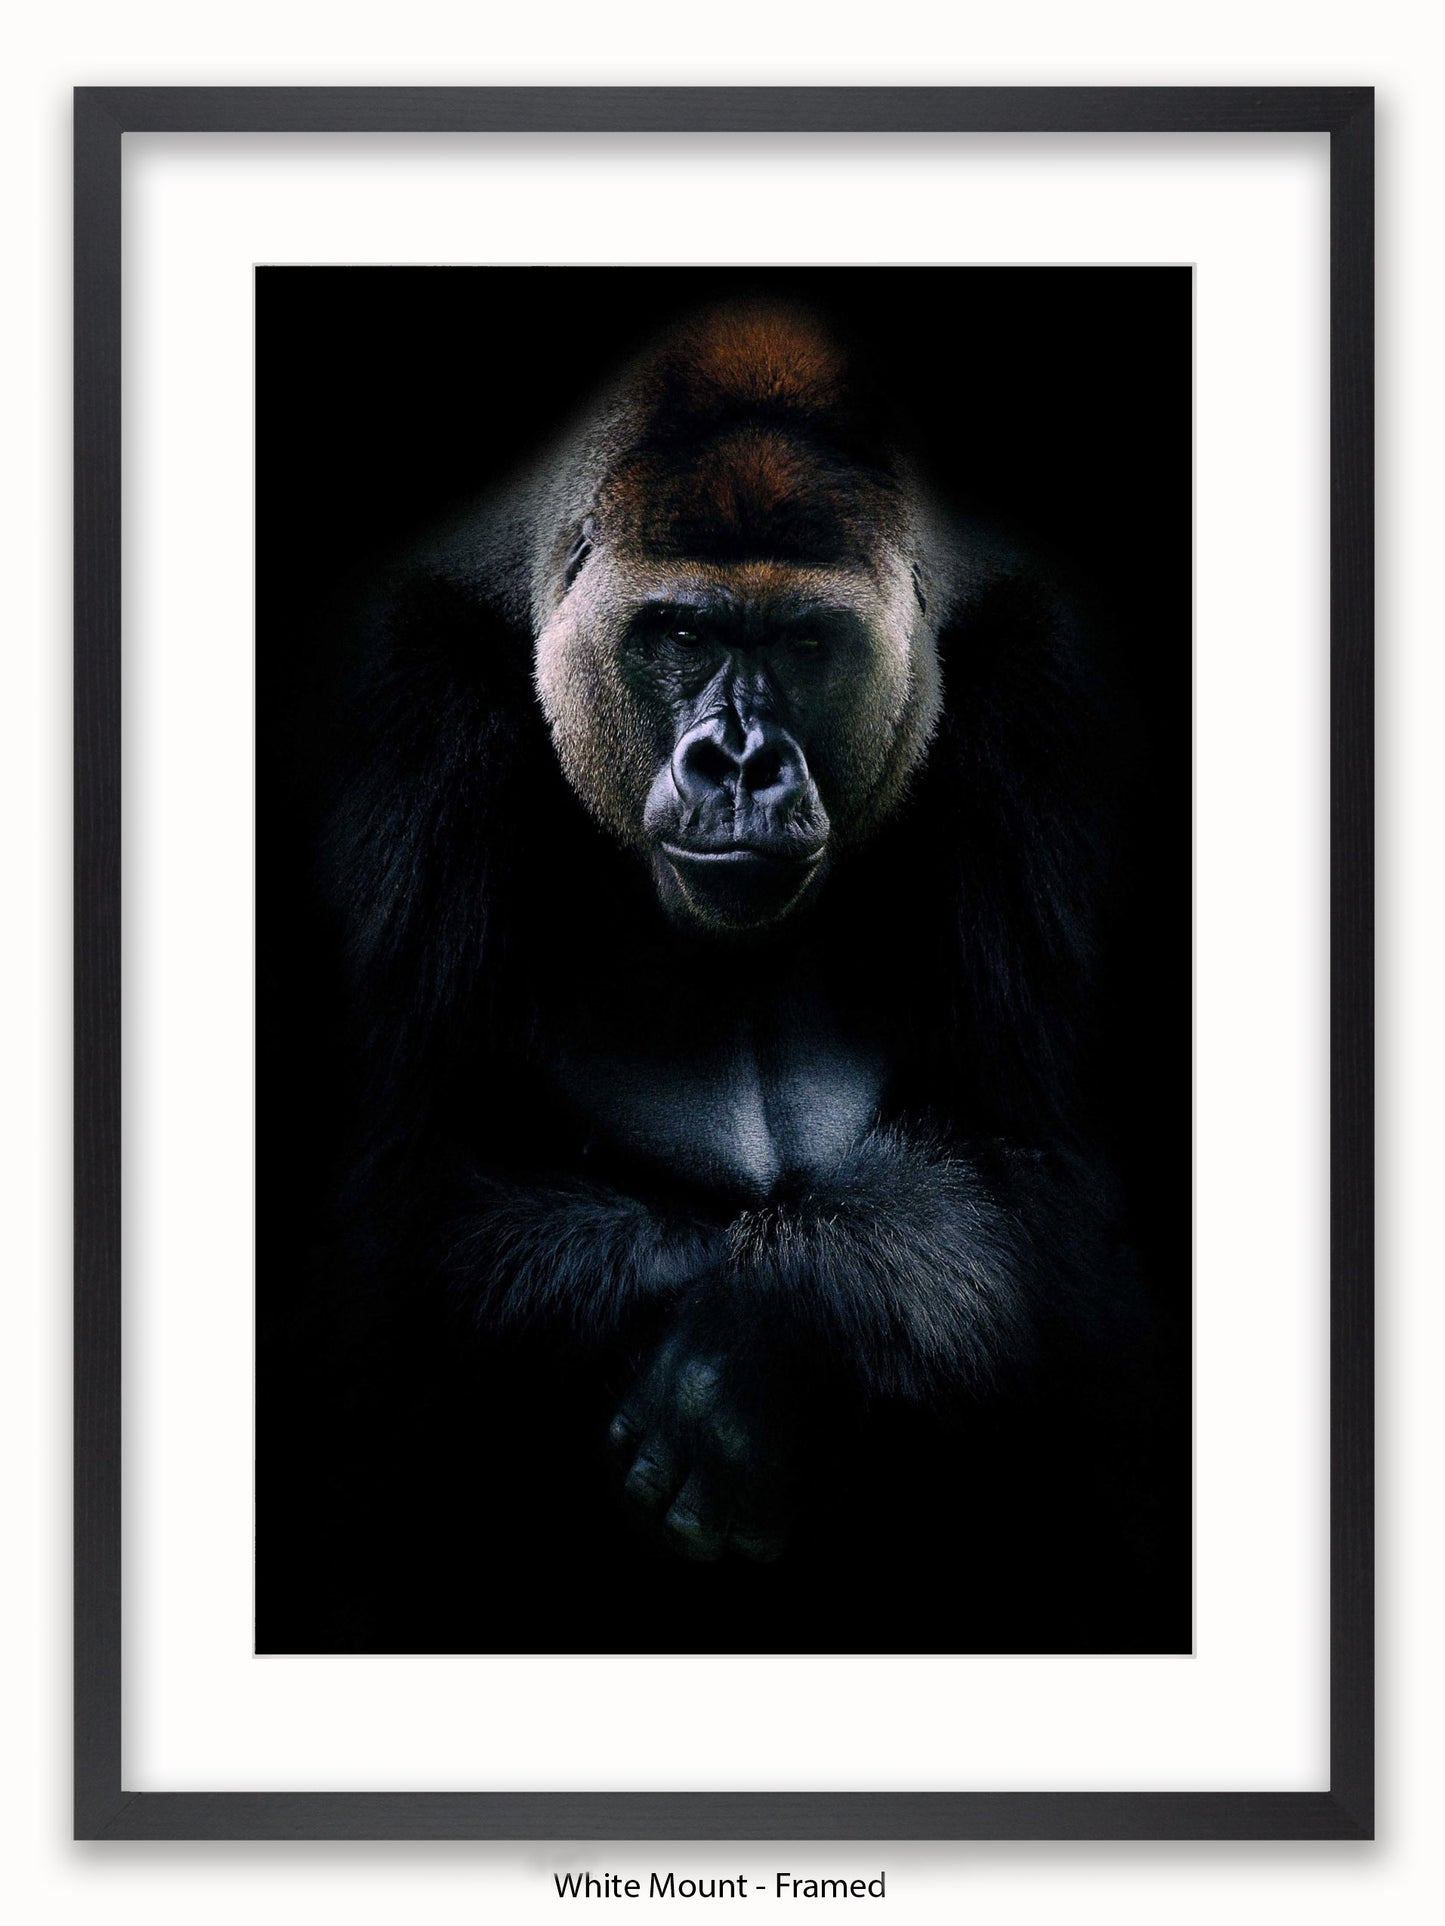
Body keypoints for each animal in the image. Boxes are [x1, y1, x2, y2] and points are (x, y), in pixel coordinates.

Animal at [284, 300, 1186, 1653]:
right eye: (683, 632)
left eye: (805, 642)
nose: (743, 762)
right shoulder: (393, 694)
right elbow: (402, 1209)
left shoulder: (1045, 682)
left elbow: (1037, 1179)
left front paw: (768, 1344)